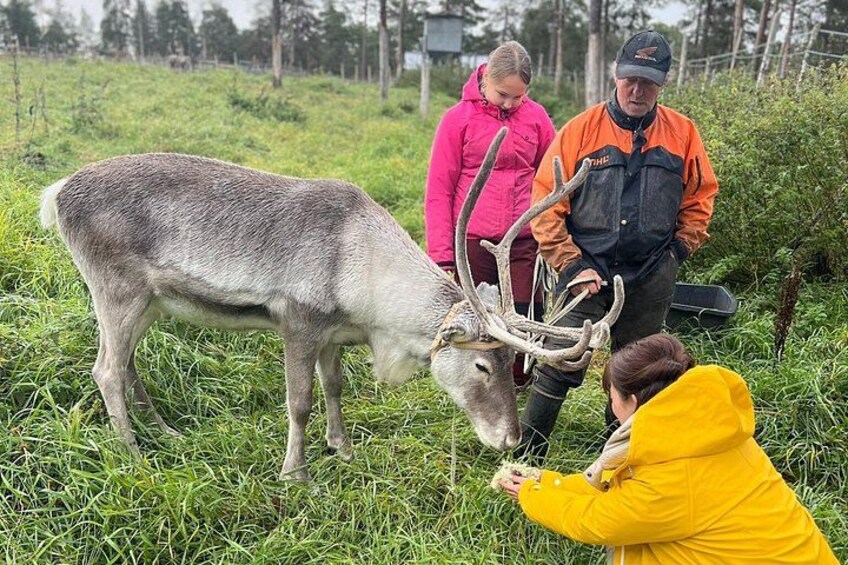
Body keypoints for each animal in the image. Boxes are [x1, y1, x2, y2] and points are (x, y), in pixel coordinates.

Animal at [39, 128, 623, 480]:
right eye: (482, 364)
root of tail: (57, 191)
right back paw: (133, 454)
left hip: (150, 303)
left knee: (127, 363)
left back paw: (164, 432)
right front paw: (294, 472)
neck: (365, 287)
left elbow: (334, 388)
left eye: (513, 361)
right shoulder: (296, 320)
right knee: (105, 369)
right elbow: (299, 401)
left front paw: (342, 448)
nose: (509, 438)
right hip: (116, 289)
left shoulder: (333, 333)